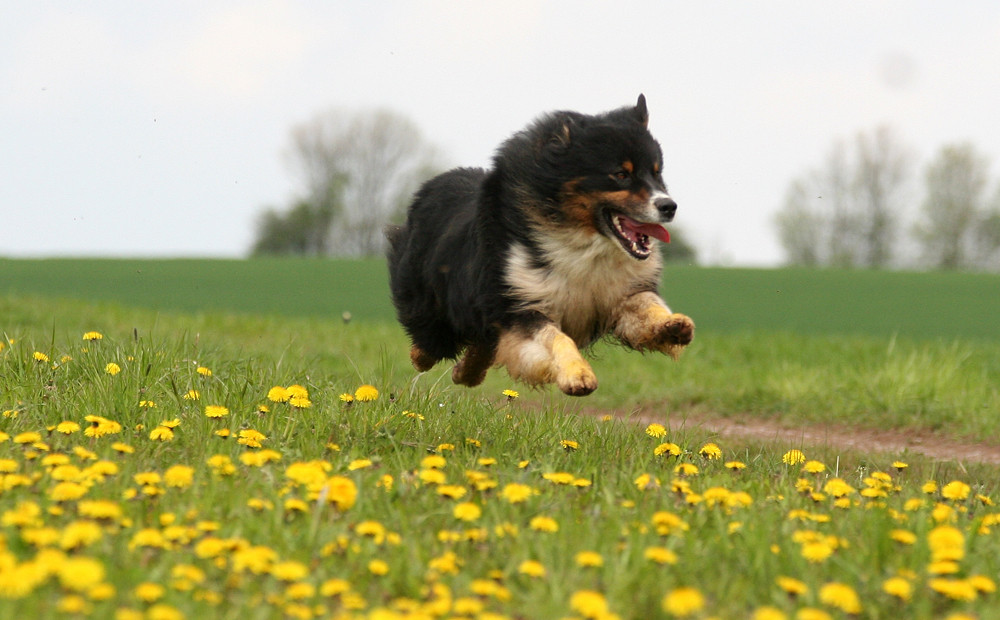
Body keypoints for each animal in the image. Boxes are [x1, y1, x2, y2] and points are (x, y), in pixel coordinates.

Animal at [386, 95, 692, 398]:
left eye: (657, 173)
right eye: (620, 174)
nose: (669, 206)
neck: (581, 240)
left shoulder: (622, 293)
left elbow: (648, 306)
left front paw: (673, 326)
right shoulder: (524, 301)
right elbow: (556, 338)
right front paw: (577, 375)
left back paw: (466, 372)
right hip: (434, 310)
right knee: (430, 344)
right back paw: (426, 359)